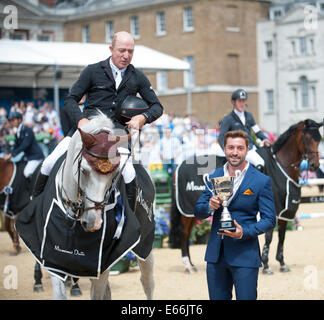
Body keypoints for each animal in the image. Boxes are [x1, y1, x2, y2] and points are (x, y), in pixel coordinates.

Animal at [170, 119, 322, 274]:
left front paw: (282, 263)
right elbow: (269, 236)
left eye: (319, 139)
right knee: (184, 232)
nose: (314, 165)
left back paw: (191, 264)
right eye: (308, 138)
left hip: (193, 213)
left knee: (188, 232)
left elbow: (282, 236)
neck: (281, 166)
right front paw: (266, 265)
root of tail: (179, 166)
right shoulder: (273, 209)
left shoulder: (284, 211)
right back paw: (188, 265)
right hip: (186, 211)